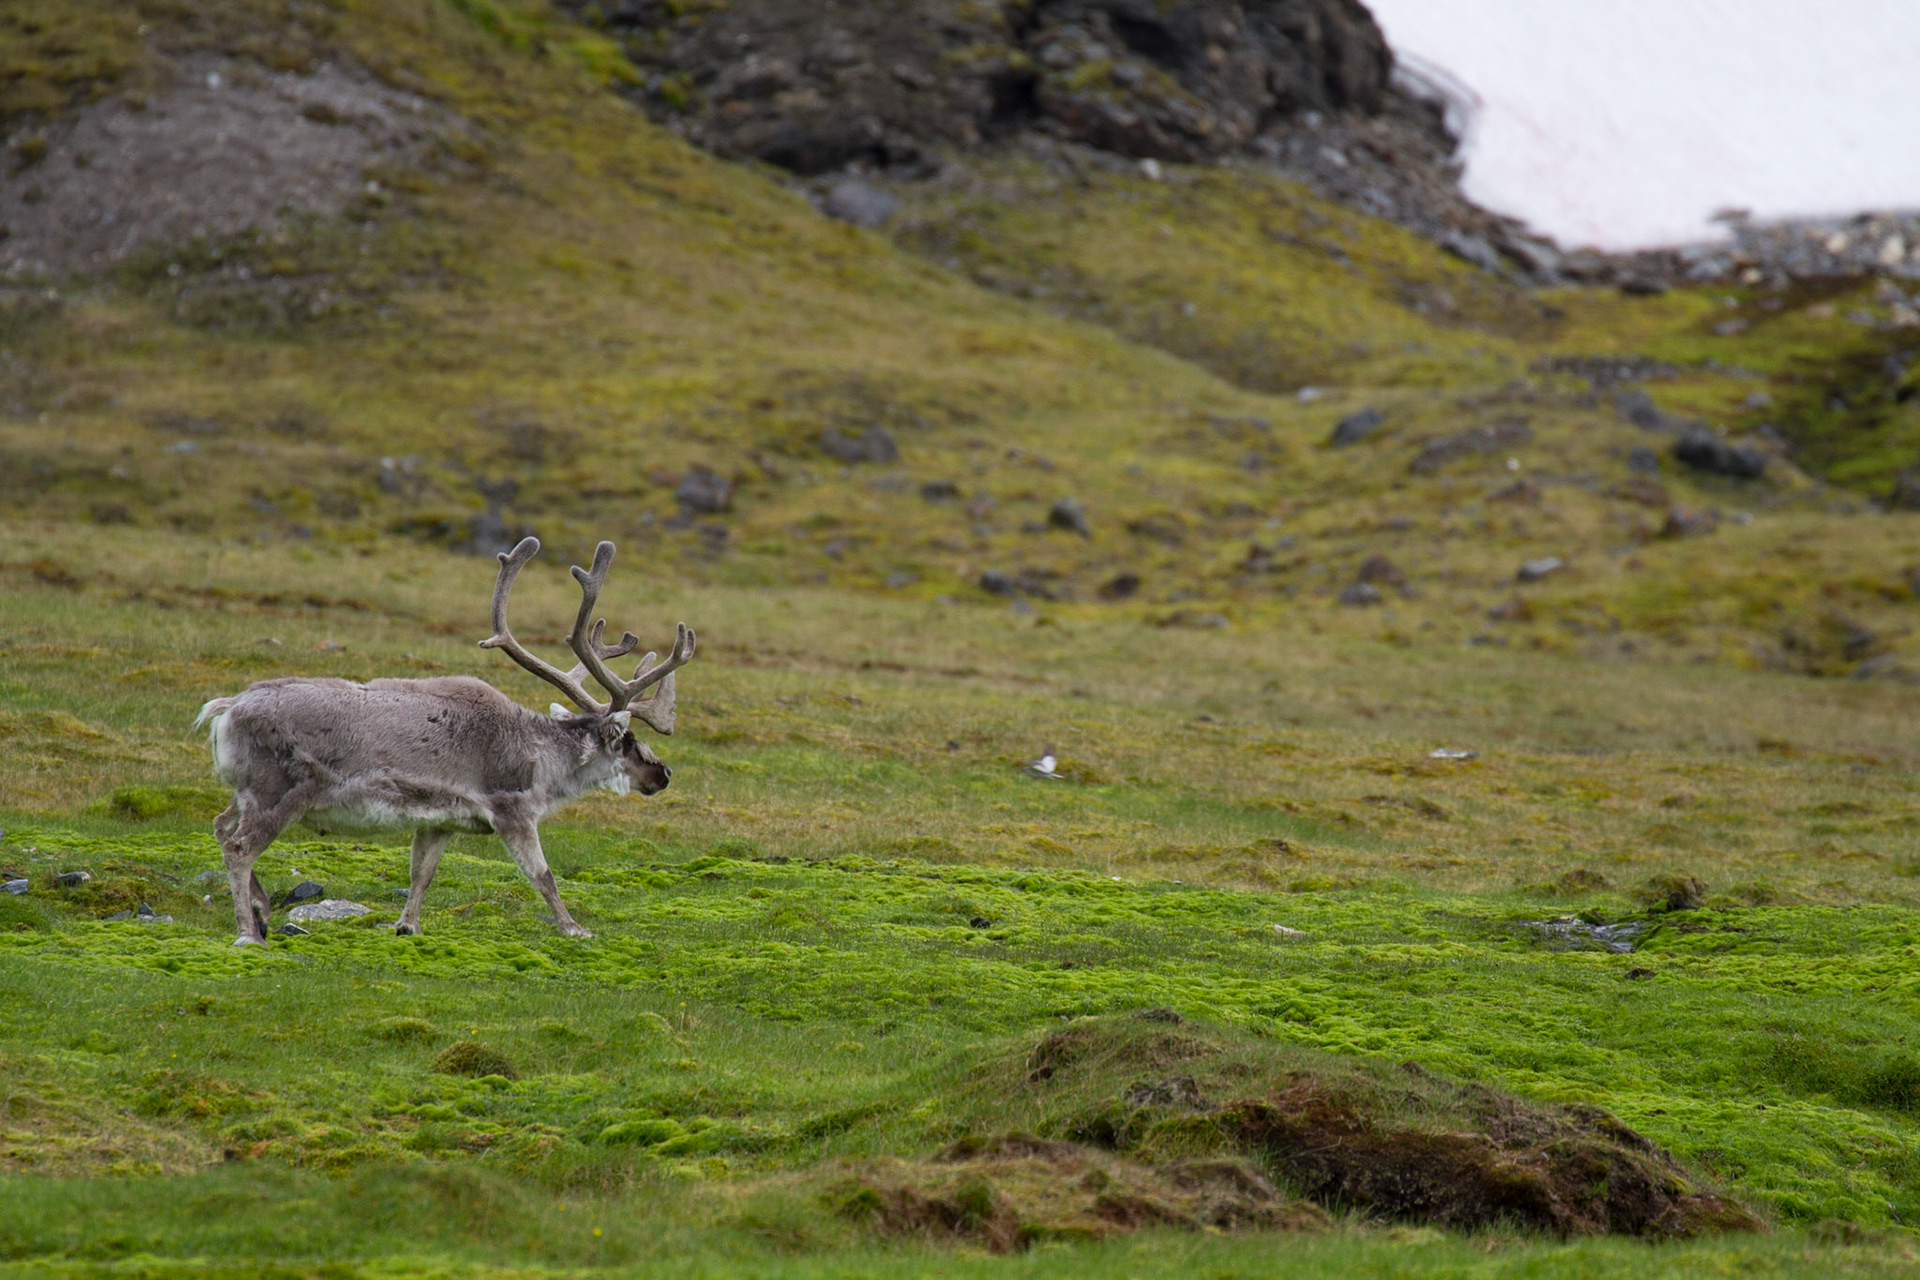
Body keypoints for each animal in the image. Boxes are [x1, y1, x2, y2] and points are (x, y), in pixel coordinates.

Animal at [197, 536, 695, 946]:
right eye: (626, 740)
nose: (664, 773)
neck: (542, 762)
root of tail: (227, 708)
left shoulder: (441, 819)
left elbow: (423, 872)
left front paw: (408, 925)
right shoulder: (511, 808)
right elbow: (543, 875)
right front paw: (574, 928)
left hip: (245, 789)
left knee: (221, 827)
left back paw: (261, 912)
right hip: (276, 791)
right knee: (239, 847)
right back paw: (248, 932)